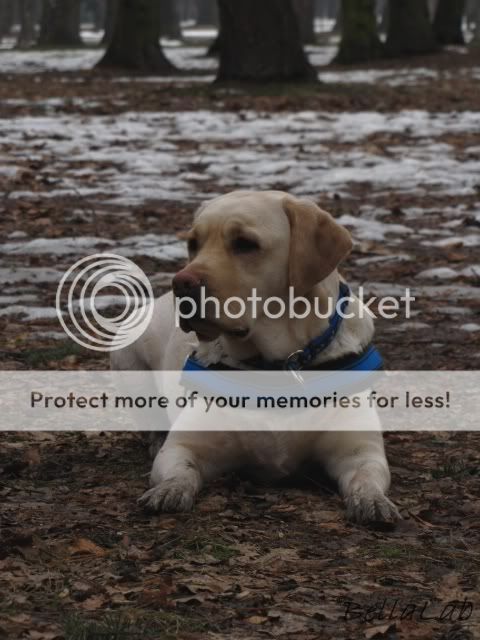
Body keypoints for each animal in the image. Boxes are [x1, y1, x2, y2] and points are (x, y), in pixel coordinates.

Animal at [111, 190, 400, 524]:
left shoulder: (359, 450)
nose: (180, 283)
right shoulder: (185, 445)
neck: (276, 365)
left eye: (245, 243)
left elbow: (366, 476)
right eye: (193, 243)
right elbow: (180, 469)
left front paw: (373, 501)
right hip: (127, 362)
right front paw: (169, 490)